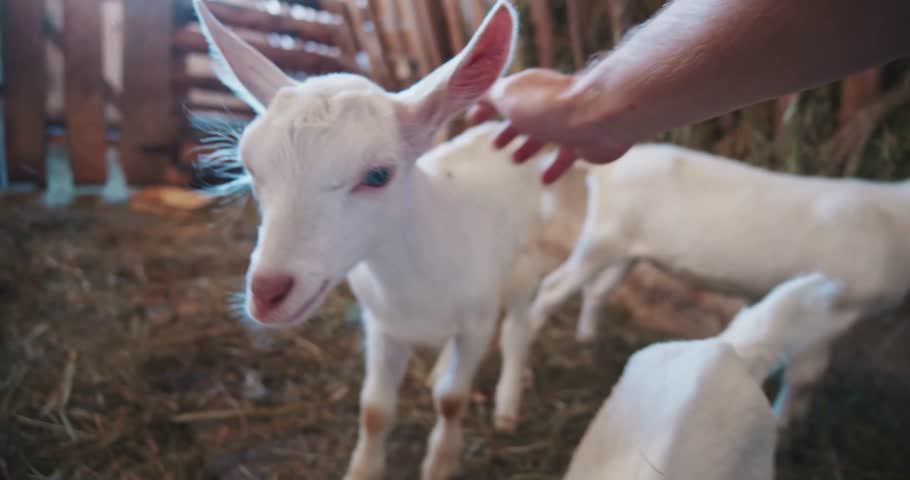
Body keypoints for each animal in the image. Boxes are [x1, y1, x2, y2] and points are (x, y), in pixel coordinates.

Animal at [192, 1, 588, 478]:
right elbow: (374, 410)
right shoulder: (381, 325)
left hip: (522, 267)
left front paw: (441, 463)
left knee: (516, 329)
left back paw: (508, 401)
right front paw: (363, 468)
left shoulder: (477, 322)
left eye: (378, 175)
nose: (267, 293)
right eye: (250, 167)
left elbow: (452, 399)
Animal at [530, 143, 910, 427]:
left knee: (597, 290)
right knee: (553, 287)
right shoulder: (839, 306)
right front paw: (783, 425)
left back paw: (588, 341)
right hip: (602, 240)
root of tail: (606, 170)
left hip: (626, 251)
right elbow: (807, 375)